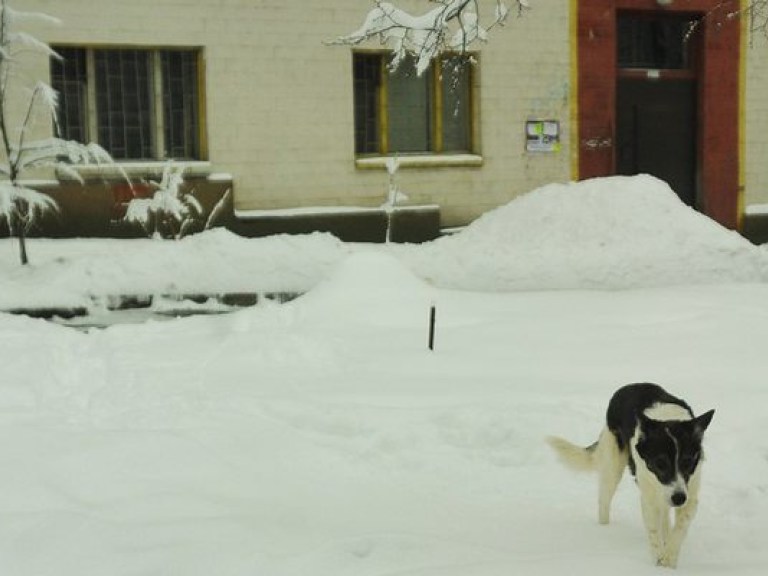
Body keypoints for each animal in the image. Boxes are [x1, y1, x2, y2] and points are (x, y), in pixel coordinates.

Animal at [544, 382, 712, 568]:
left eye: (687, 462)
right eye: (660, 464)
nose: (679, 499)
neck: (667, 417)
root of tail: (631, 385)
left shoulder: (689, 490)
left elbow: (680, 528)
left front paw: (669, 560)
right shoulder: (650, 494)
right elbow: (654, 531)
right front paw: (659, 562)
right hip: (612, 467)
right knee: (604, 502)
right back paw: (604, 530)